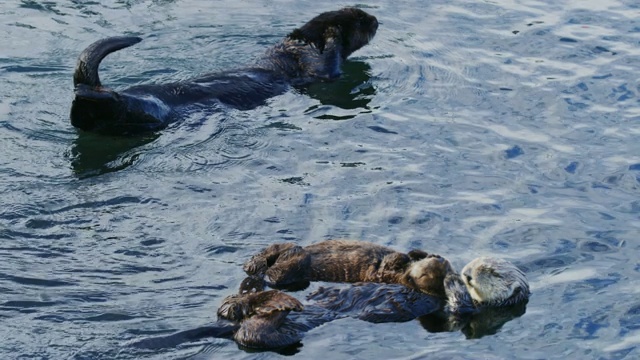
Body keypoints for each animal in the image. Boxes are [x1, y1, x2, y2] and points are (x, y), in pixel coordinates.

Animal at [69, 7, 380, 136]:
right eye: (361, 18)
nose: (376, 20)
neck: (299, 43)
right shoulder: (310, 62)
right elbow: (326, 64)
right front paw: (332, 31)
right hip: (144, 109)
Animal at [241, 240, 456, 296]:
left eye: (426, 273)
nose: (440, 259)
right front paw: (416, 252)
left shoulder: (384, 275)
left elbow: (389, 264)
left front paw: (404, 256)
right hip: (283, 249)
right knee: (278, 248)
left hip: (289, 270)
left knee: (273, 271)